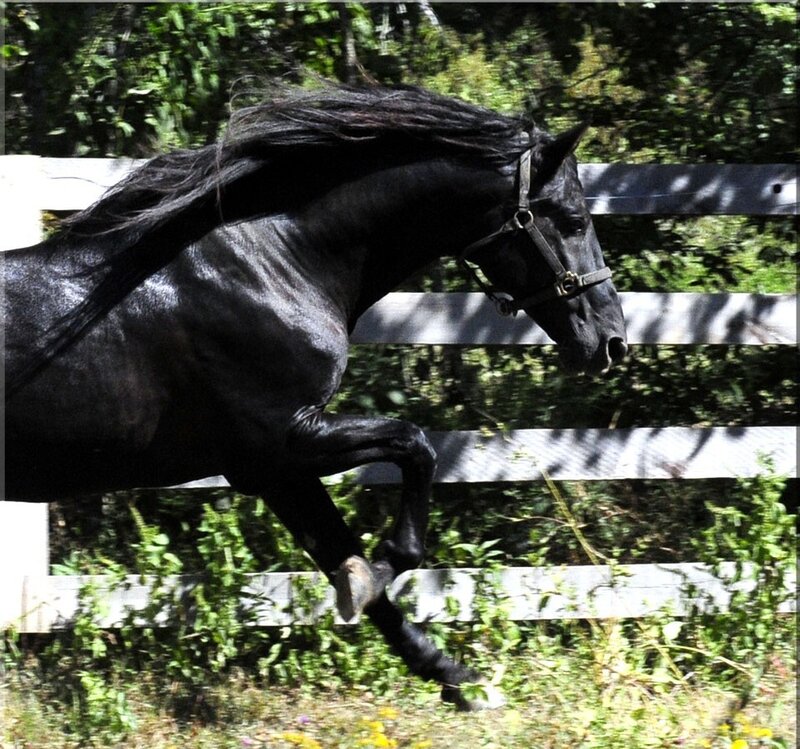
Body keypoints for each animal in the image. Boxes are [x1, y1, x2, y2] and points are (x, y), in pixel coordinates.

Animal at [2, 84, 627, 709]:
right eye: (573, 221)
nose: (611, 341)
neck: (275, 261)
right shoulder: (277, 444)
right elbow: (413, 449)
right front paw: (377, 577)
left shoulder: (278, 470)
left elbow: (341, 553)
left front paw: (456, 678)